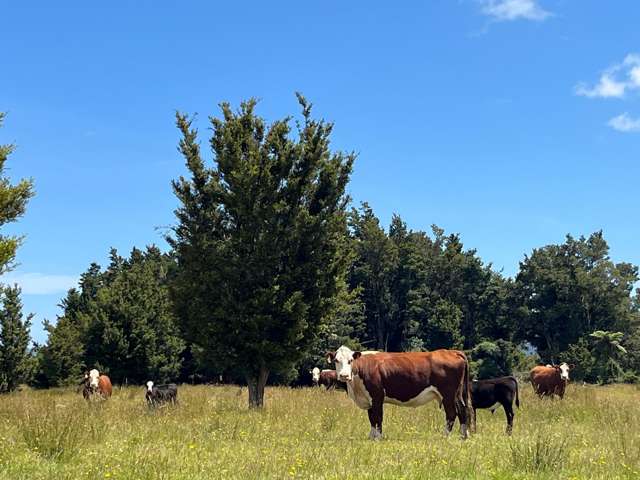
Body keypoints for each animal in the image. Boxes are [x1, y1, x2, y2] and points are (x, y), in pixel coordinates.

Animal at [328, 344, 472, 440]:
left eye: (350, 360)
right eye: (336, 360)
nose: (344, 375)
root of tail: (452, 352)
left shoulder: (377, 396)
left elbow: (378, 417)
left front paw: (378, 437)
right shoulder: (368, 399)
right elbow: (371, 418)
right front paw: (371, 437)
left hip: (448, 394)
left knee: (452, 413)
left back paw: (445, 435)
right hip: (456, 394)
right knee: (462, 410)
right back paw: (463, 435)